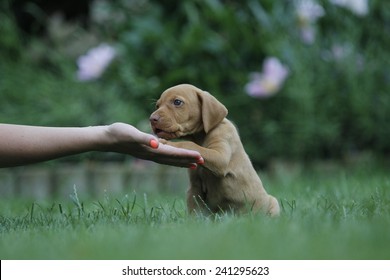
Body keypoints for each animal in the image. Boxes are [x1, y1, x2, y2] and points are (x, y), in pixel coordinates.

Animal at [149, 83, 280, 217]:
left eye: (177, 102)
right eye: (157, 105)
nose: (152, 119)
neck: (199, 137)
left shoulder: (220, 154)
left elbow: (190, 144)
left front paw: (169, 143)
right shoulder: (194, 188)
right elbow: (194, 210)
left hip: (273, 203)